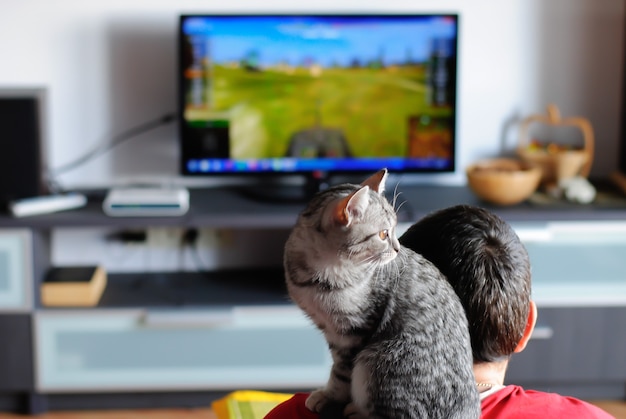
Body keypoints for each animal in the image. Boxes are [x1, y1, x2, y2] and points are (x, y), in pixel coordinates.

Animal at [282, 169, 478, 418]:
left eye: (393, 229)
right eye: (384, 234)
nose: (397, 248)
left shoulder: (354, 331)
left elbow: (341, 373)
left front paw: (330, 396)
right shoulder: (333, 332)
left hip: (378, 360)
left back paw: (357, 411)